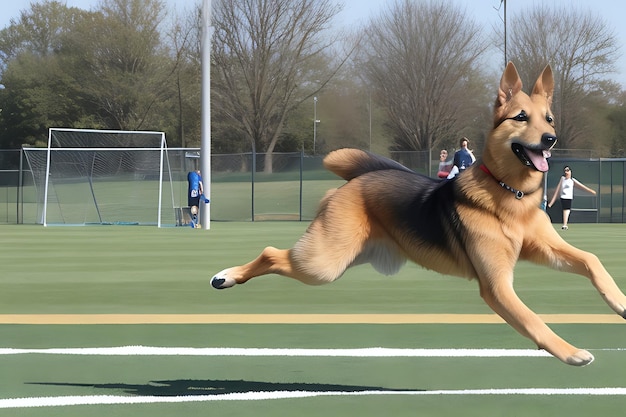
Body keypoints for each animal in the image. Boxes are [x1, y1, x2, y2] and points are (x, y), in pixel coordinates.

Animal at [211, 61, 624, 364]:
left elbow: (591, 259)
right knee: (271, 253)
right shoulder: (497, 285)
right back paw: (225, 276)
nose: (551, 139)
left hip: (353, 256)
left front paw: (619, 303)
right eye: (521, 117)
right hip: (322, 262)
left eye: (549, 119)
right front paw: (570, 352)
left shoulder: (544, 249)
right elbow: (533, 319)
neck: (511, 195)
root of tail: (363, 175)